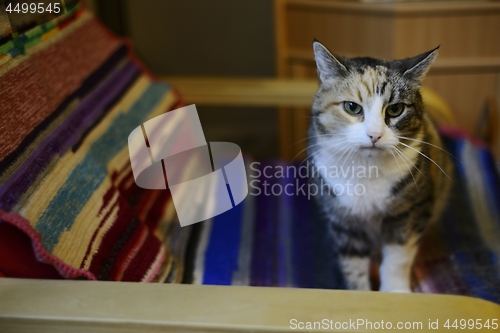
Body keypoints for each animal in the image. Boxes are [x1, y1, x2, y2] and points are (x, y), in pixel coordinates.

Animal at [308, 40, 454, 290]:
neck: (368, 169)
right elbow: (353, 264)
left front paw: (395, 291)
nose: (374, 135)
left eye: (395, 109)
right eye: (352, 107)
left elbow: (398, 257)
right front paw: (360, 293)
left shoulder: (411, 211)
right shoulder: (343, 220)